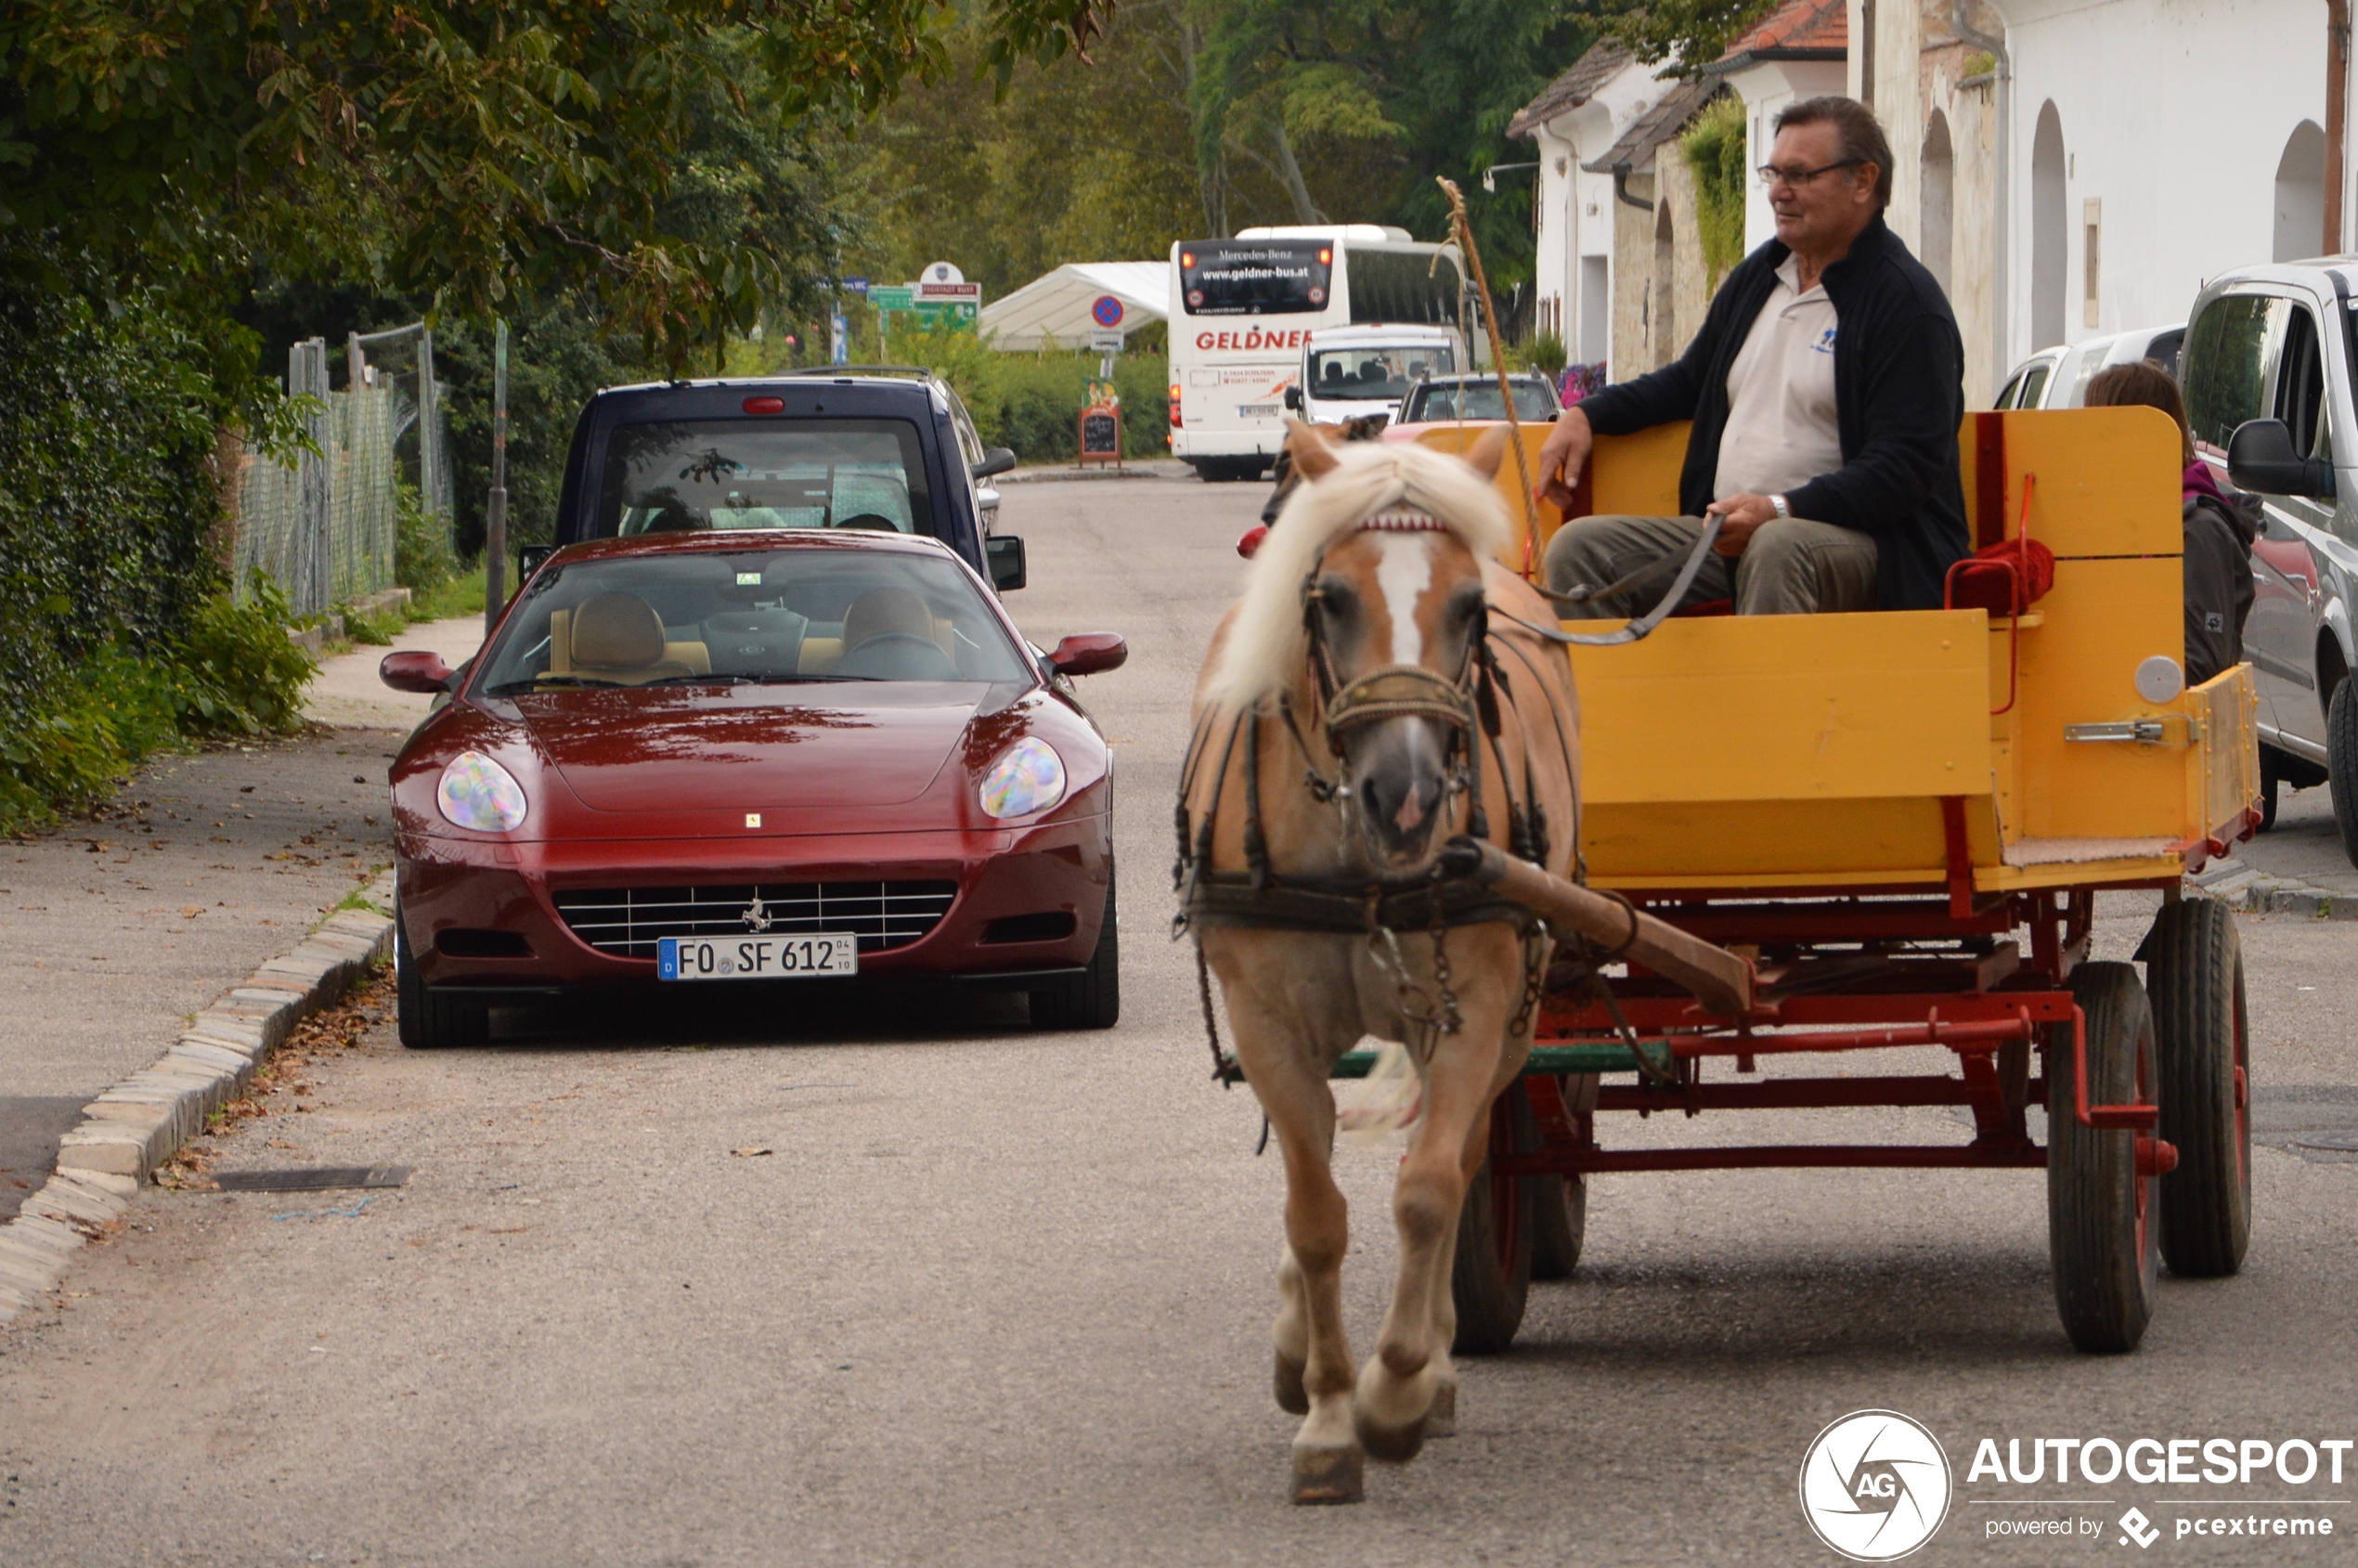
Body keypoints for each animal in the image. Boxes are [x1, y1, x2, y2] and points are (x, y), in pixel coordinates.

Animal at [1179, 421, 1584, 1499]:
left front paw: (1398, 1386)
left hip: (1515, 1025)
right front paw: (1325, 1416)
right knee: (1314, 1155)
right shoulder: (1269, 1025)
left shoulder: (1475, 1009)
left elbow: (1430, 1188)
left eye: (1469, 606)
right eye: (1330, 598)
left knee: (1466, 1156)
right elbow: (1315, 1213)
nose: (1403, 799)